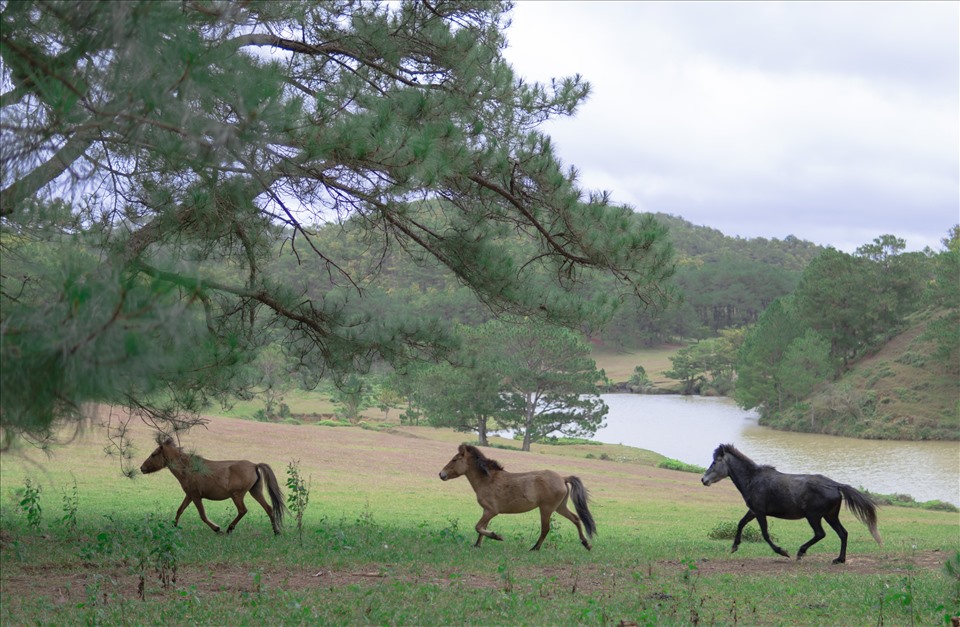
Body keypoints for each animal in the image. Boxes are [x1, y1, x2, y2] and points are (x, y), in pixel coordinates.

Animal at [140, 436, 284, 536]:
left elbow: (202, 515)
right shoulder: (189, 495)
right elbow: (179, 510)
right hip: (255, 491)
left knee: (243, 510)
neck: (188, 468)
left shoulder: (196, 496)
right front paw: (173, 527)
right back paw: (276, 531)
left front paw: (217, 529)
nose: (142, 468)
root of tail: (254, 465)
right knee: (269, 508)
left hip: (237, 495)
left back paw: (229, 528)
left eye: (153, 454)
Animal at [440, 444, 592, 552]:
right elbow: (481, 529)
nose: (441, 474)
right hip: (560, 507)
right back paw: (586, 544)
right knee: (576, 519)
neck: (487, 480)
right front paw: (477, 545)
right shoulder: (486, 511)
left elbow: (478, 527)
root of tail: (562, 478)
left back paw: (534, 548)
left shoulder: (491, 511)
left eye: (454, 460)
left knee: (546, 529)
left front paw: (497, 536)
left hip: (546, 508)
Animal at [700, 442, 880, 564]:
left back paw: (800, 552)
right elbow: (741, 523)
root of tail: (836, 485)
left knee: (820, 534)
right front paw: (734, 546)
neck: (753, 479)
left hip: (814, 516)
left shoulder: (759, 512)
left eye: (715, 462)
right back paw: (839, 559)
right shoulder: (753, 511)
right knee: (843, 533)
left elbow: (765, 534)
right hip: (830, 516)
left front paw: (782, 552)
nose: (703, 480)